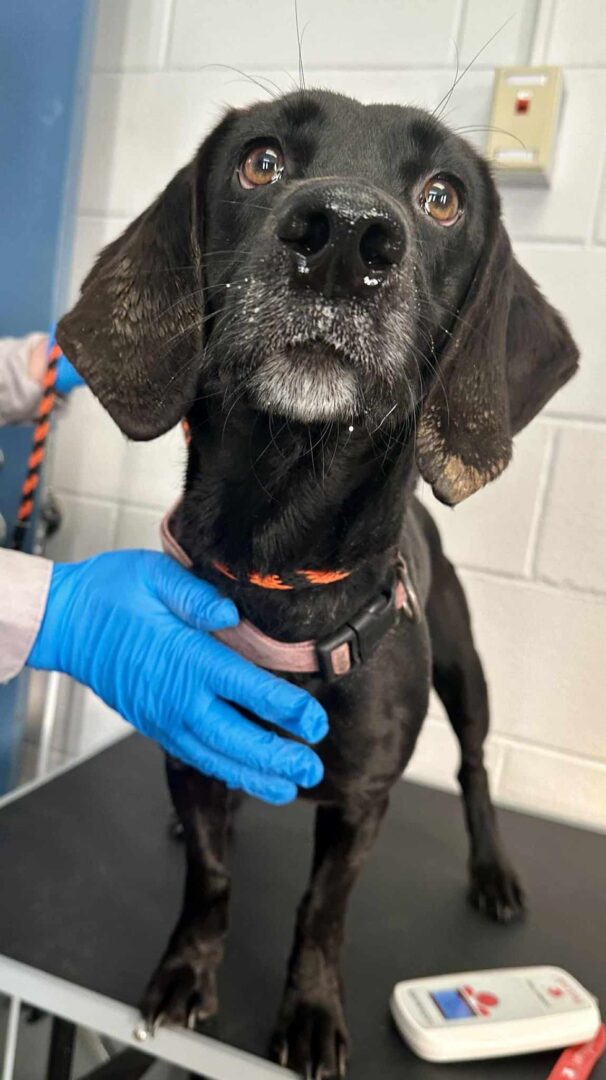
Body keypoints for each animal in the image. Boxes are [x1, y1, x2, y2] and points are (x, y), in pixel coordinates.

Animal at [58, 88, 578, 1078]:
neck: (283, 559)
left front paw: (308, 1011)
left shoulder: (364, 799)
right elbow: (211, 878)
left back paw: (493, 870)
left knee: (476, 769)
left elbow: (321, 912)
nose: (342, 237)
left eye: (443, 197)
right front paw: (187, 969)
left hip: (467, 672)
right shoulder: (190, 741)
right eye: (261, 161)